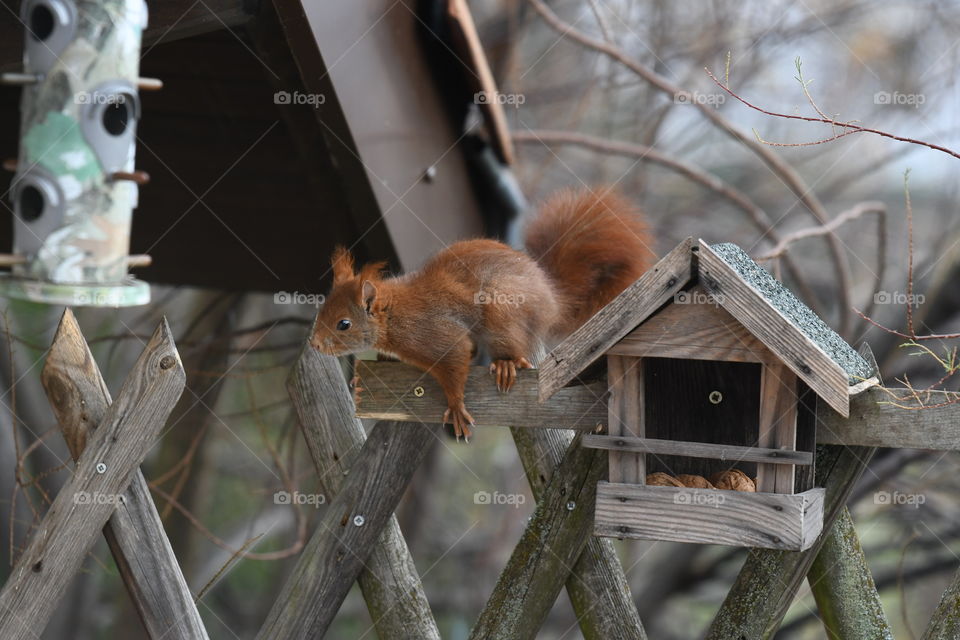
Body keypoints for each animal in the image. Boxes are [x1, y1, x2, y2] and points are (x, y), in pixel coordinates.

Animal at [312, 186, 656, 440]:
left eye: (344, 324)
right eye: (321, 311)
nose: (314, 344)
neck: (394, 314)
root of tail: (551, 297)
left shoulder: (435, 334)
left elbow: (454, 362)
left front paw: (455, 404)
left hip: (501, 308)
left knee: (513, 347)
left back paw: (506, 364)